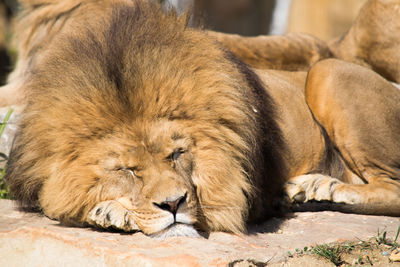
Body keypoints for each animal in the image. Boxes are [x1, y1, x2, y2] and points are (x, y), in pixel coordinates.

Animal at [3, 0, 400, 239]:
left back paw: (321, 188)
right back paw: (302, 193)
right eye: (128, 170)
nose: (173, 205)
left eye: (177, 154)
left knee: (392, 188)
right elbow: (59, 199)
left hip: (326, 71)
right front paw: (107, 211)